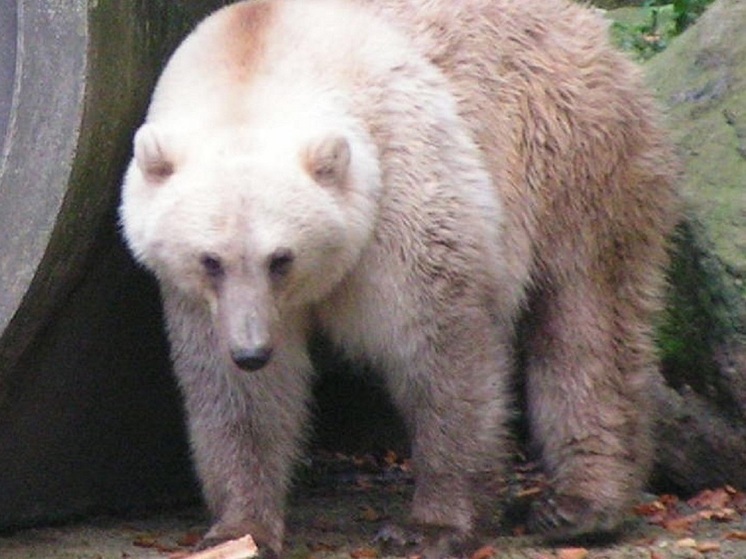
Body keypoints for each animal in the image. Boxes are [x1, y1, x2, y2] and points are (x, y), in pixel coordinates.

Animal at [119, 0, 676, 556]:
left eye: (281, 258)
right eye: (209, 260)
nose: (252, 350)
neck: (259, 58)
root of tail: (589, 26)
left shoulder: (401, 186)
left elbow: (440, 350)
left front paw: (432, 526)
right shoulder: (199, 300)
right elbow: (236, 394)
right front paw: (240, 529)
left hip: (572, 152)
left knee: (586, 319)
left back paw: (581, 505)